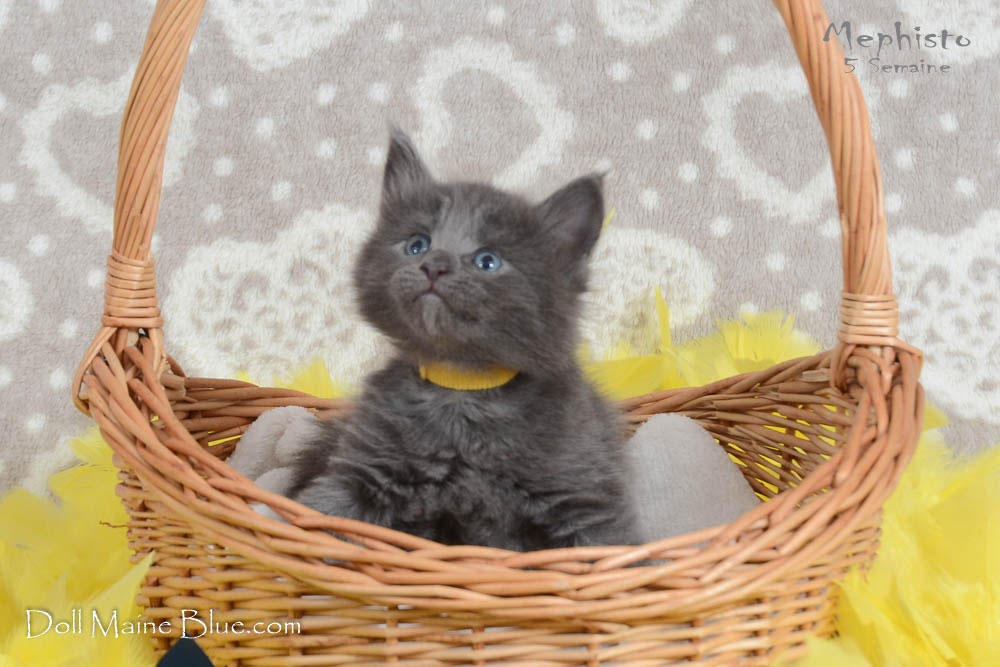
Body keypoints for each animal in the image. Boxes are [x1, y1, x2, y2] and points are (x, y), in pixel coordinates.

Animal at [287, 129, 640, 551]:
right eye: (417, 244)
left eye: (488, 261)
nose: (434, 264)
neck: (461, 387)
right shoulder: (362, 471)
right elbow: (324, 515)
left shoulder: (584, 495)